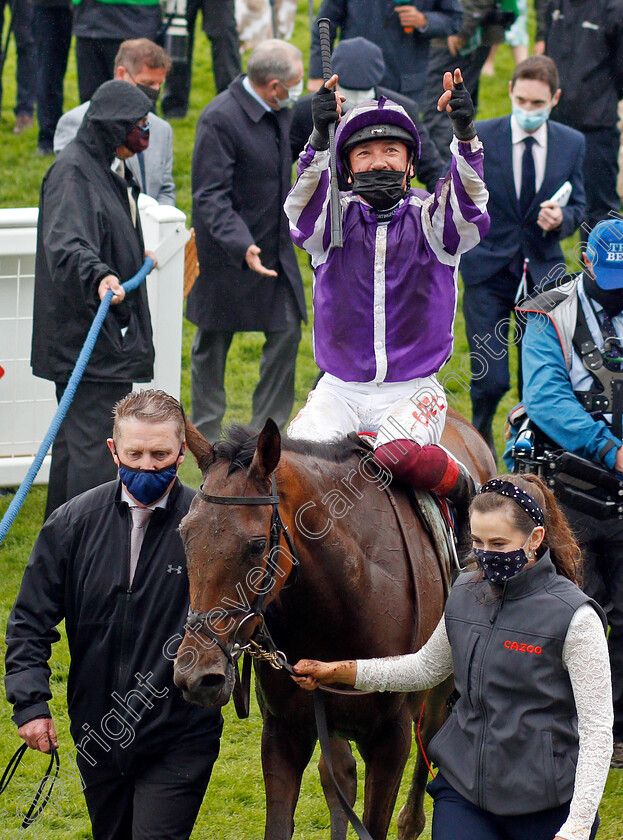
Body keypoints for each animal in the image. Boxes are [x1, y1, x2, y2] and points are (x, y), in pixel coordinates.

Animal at [176, 410, 498, 836]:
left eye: (256, 546)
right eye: (185, 533)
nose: (196, 675)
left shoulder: (391, 739)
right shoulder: (284, 731)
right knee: (340, 775)